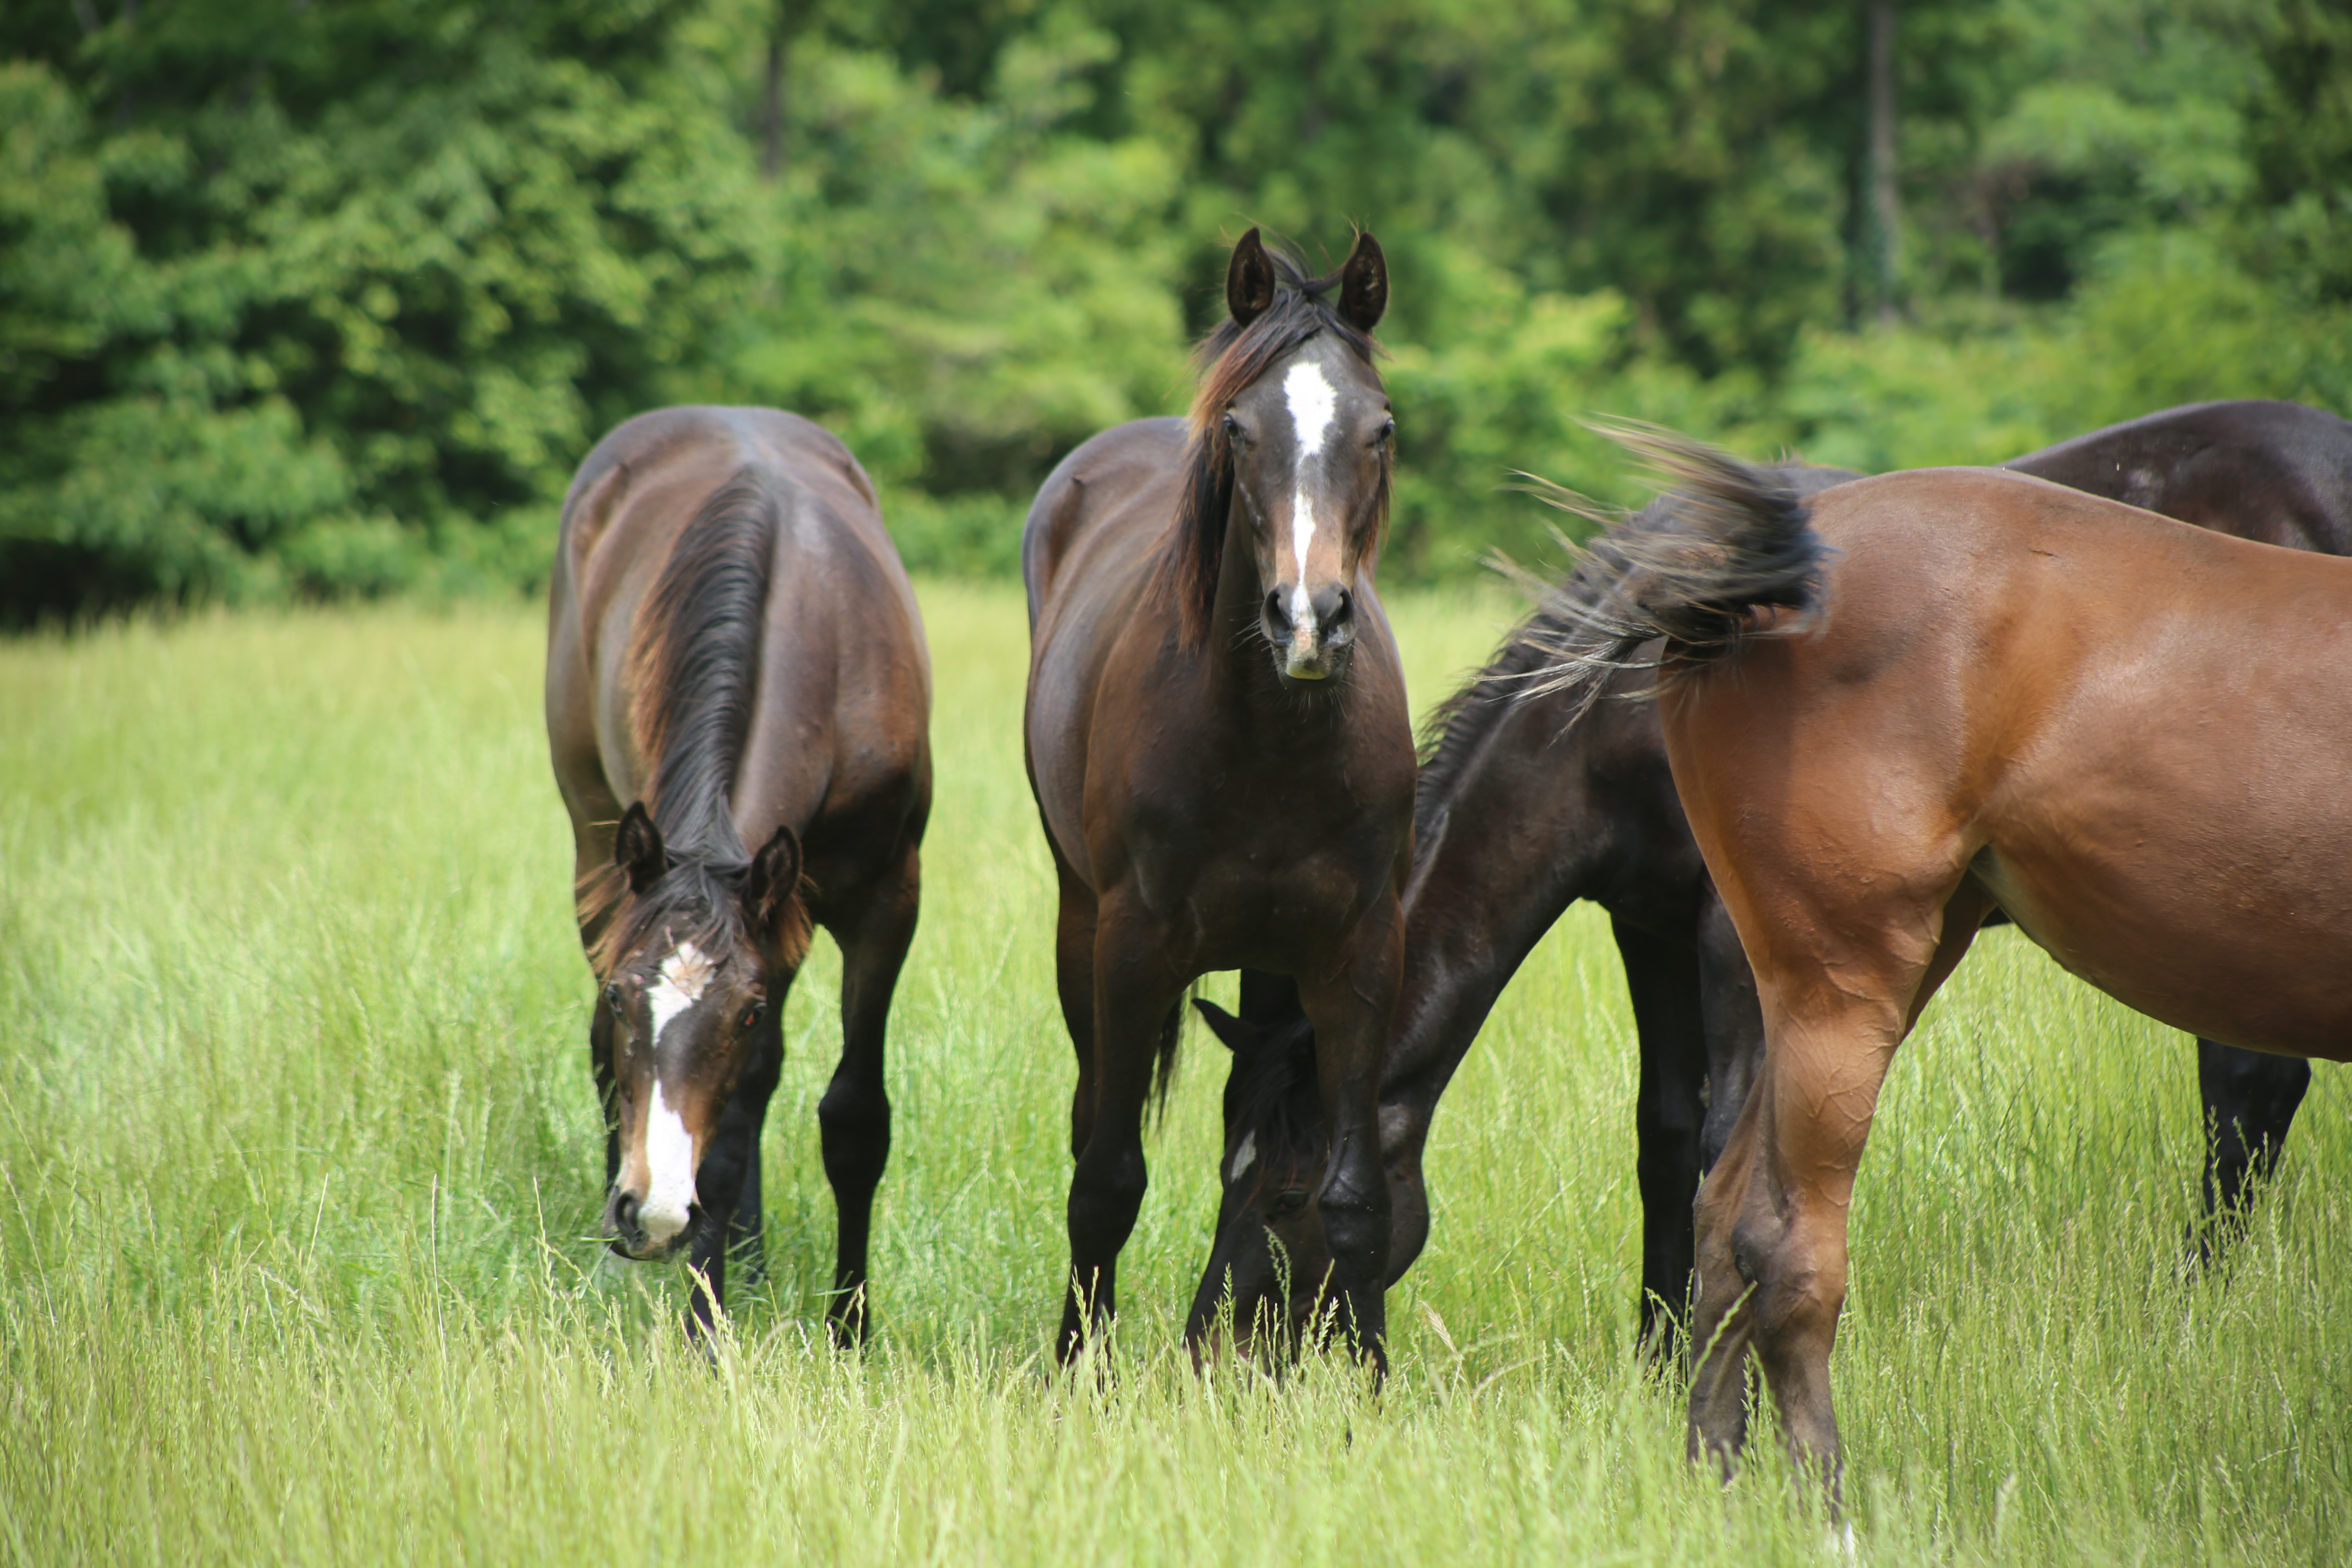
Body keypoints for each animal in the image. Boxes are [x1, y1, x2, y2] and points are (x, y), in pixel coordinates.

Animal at [543, 409, 927, 1354]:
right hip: (593, 846)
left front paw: (848, 1325)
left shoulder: (884, 904)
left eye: (742, 1011)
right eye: (622, 998)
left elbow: (849, 1116)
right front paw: (703, 1322)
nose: (648, 1215)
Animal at [1016, 227, 1401, 1363]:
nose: (1308, 619)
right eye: (1238, 427)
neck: (1269, 744)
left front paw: (1370, 1380)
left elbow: (1350, 1194)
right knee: (1092, 1121)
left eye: (1378, 429)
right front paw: (1080, 1369)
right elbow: (1104, 1182)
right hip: (1081, 929)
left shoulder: (1358, 955)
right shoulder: (1131, 947)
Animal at [1185, 402, 2352, 1363]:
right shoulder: (1646, 923)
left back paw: (2195, 1295)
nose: (1209, 1355)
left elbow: (1723, 1141)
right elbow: (1662, 1133)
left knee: (2245, 1087)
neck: (1621, 700)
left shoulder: (1731, 934)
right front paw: (1654, 1349)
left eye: (1286, 1192)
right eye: (1227, 1171)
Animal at [1524, 430, 2352, 1504]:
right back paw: (1824, 1508)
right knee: (1783, 1249)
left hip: (1860, 966)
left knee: (1721, 1222)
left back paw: (1717, 1488)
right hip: (1843, 980)